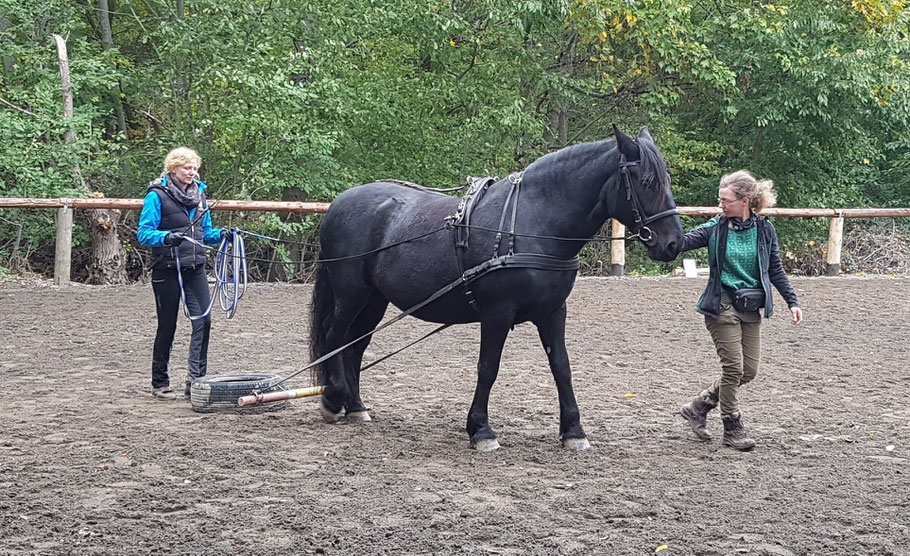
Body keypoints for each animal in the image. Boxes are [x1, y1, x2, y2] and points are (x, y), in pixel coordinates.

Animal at [310, 124, 680, 450]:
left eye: (666, 180)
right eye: (647, 182)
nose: (674, 243)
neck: (534, 222)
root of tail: (338, 204)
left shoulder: (553, 312)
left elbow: (561, 366)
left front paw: (573, 431)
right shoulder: (497, 313)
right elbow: (488, 368)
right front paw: (481, 430)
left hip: (374, 299)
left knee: (356, 346)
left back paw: (356, 406)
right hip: (351, 293)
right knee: (335, 335)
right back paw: (333, 398)